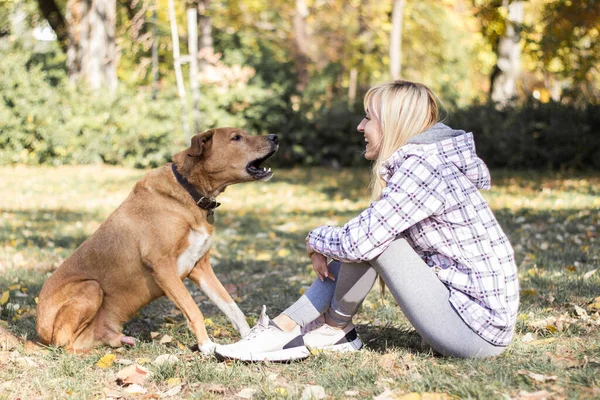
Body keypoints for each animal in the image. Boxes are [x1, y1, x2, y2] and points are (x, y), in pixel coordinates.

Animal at [36, 127, 280, 354]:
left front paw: (249, 339)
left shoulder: (200, 267)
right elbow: (194, 310)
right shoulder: (162, 266)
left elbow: (232, 306)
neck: (189, 192)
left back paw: (123, 340)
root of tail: (40, 336)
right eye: (236, 137)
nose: (276, 137)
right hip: (90, 287)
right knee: (67, 346)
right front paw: (206, 346)